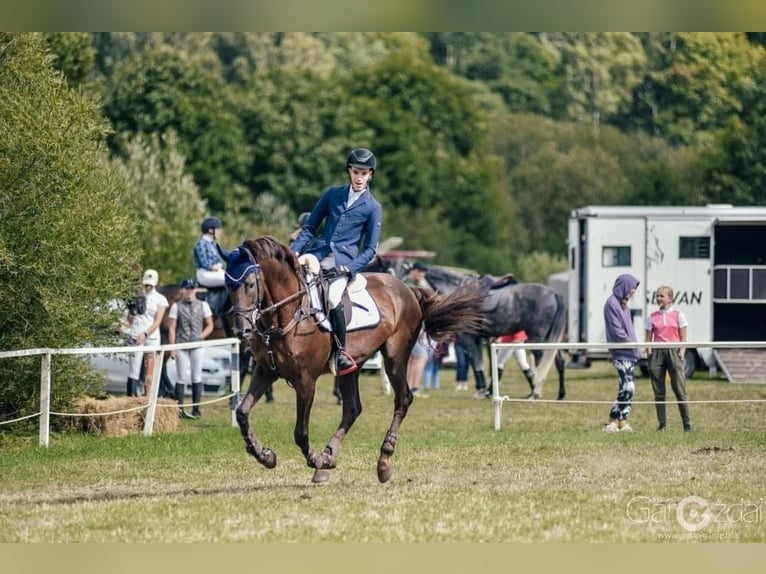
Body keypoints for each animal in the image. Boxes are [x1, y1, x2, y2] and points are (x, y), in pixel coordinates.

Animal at [225, 236, 486, 484]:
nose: (239, 330)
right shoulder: (266, 371)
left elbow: (300, 432)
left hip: (395, 358)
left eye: (250, 284)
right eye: (227, 286)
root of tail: (407, 289)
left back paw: (382, 461)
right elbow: (242, 412)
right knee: (352, 408)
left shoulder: (306, 381)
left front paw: (315, 459)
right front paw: (264, 455)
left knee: (403, 399)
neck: (288, 315)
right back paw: (330, 456)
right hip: (351, 367)